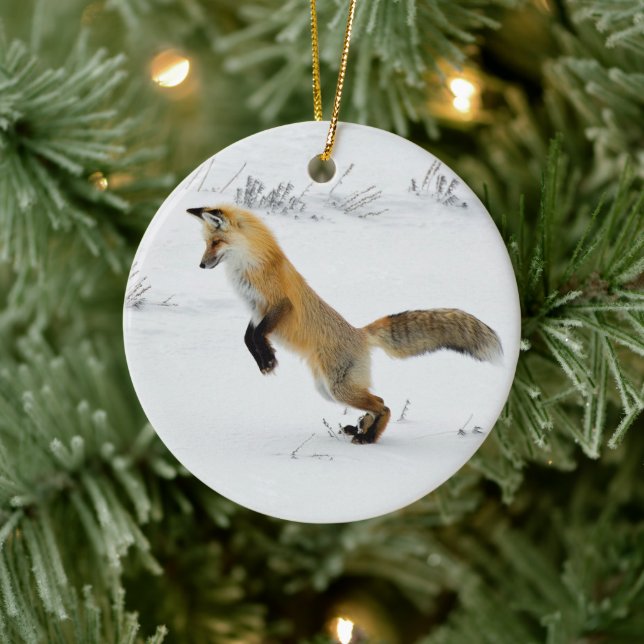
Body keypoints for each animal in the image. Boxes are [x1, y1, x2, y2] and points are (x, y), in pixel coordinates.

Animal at [186, 204, 502, 444]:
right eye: (205, 243)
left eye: (215, 243)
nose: (200, 265)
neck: (250, 265)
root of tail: (360, 333)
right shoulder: (255, 310)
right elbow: (248, 338)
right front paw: (265, 360)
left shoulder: (279, 305)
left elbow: (259, 335)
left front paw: (268, 359)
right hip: (328, 390)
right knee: (378, 402)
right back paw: (361, 428)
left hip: (338, 388)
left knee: (384, 405)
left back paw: (368, 437)